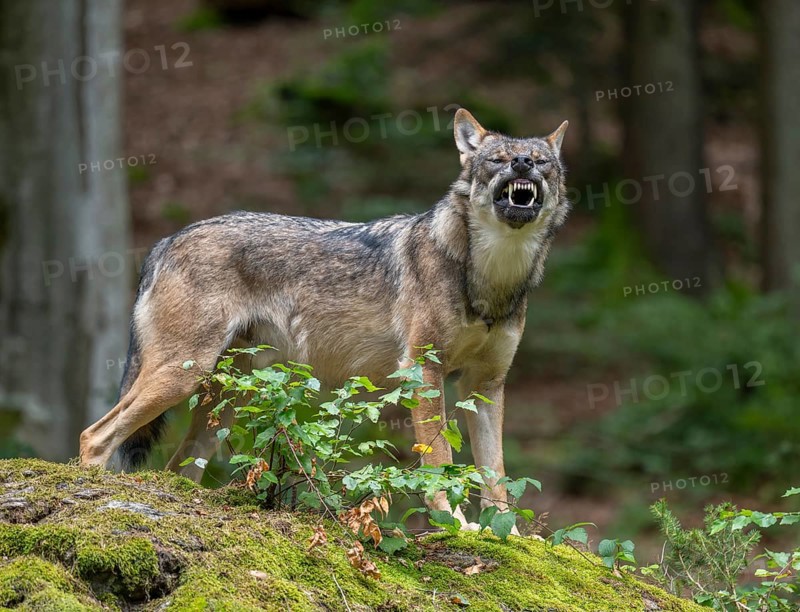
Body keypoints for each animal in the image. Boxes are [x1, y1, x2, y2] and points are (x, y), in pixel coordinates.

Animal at [80, 109, 569, 525]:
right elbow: (438, 465)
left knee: (178, 465)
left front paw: (506, 535)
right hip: (182, 376)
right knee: (95, 436)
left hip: (224, 398)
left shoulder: (485, 385)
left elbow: (496, 478)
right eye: (498, 160)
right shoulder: (422, 372)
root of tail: (167, 240)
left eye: (541, 163)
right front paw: (456, 525)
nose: (522, 163)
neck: (490, 276)